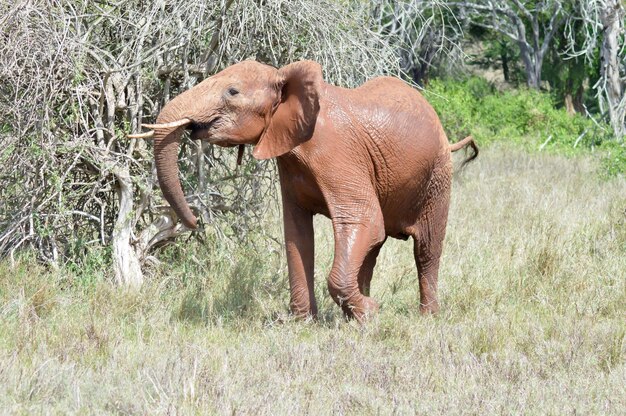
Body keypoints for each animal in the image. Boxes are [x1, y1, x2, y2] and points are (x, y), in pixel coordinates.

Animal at [129, 59, 476, 322]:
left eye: (232, 91)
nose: (193, 222)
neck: (282, 76)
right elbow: (298, 235)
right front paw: (303, 322)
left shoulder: (336, 152)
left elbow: (363, 220)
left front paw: (371, 314)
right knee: (374, 248)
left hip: (437, 176)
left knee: (426, 249)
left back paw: (426, 317)